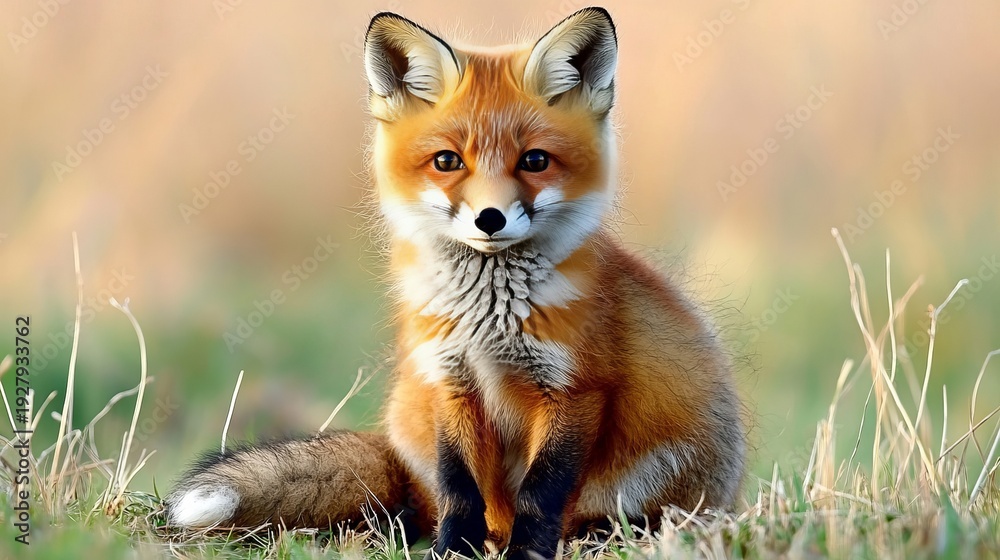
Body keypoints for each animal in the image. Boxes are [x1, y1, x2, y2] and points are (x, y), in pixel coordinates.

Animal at [165, 7, 746, 560]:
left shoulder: (574, 390)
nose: (490, 219)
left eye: (535, 161)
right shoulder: (450, 380)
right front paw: (451, 551)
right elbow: (461, 488)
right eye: (447, 161)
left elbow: (542, 491)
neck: (489, 320)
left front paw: (528, 554)